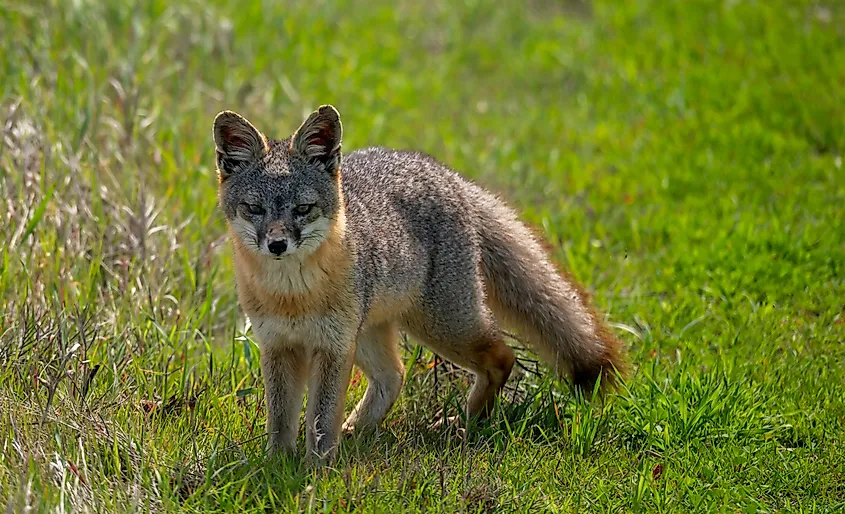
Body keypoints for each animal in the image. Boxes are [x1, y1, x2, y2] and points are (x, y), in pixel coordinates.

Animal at [212, 105, 626, 462]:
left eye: (302, 209)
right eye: (255, 209)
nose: (277, 244)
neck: (292, 296)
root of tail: (442, 172)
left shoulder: (332, 348)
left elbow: (320, 420)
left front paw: (317, 468)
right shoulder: (278, 346)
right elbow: (281, 420)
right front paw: (278, 466)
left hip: (442, 327)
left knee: (501, 357)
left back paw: (469, 422)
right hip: (371, 333)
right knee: (394, 376)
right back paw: (358, 429)